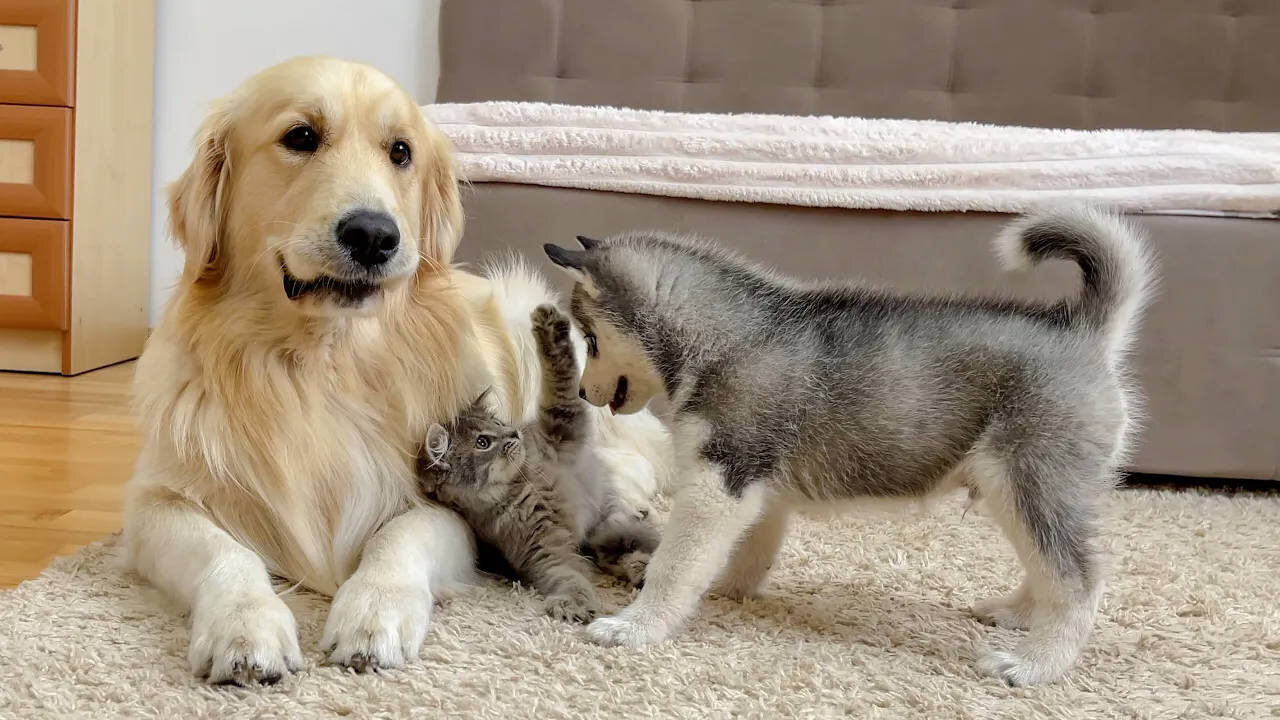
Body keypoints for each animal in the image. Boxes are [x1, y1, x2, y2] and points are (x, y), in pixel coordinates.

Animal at [540, 204, 1152, 681]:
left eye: (590, 338)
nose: (584, 392)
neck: (716, 335)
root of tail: (1082, 331)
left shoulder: (720, 484)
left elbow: (677, 564)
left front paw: (636, 625)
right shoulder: (753, 488)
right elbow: (743, 553)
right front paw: (724, 591)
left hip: (1028, 481)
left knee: (1078, 582)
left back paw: (1034, 663)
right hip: (1017, 491)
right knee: (1050, 567)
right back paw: (1019, 614)